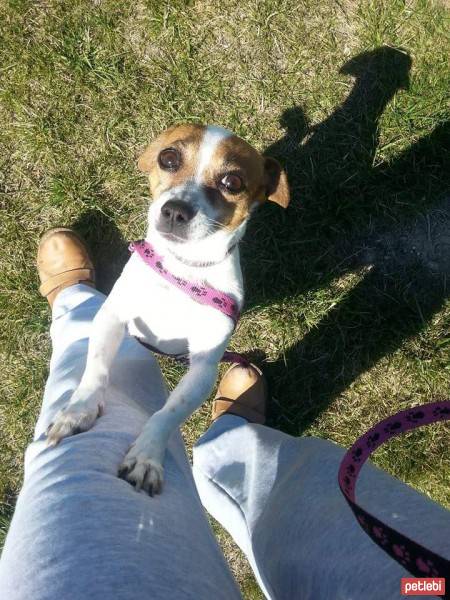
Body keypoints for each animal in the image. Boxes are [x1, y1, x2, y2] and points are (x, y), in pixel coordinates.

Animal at [45, 124, 290, 494]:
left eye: (232, 182)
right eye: (169, 158)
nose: (176, 209)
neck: (181, 271)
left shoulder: (203, 368)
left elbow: (169, 412)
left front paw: (147, 456)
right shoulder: (111, 316)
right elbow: (96, 368)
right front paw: (78, 410)